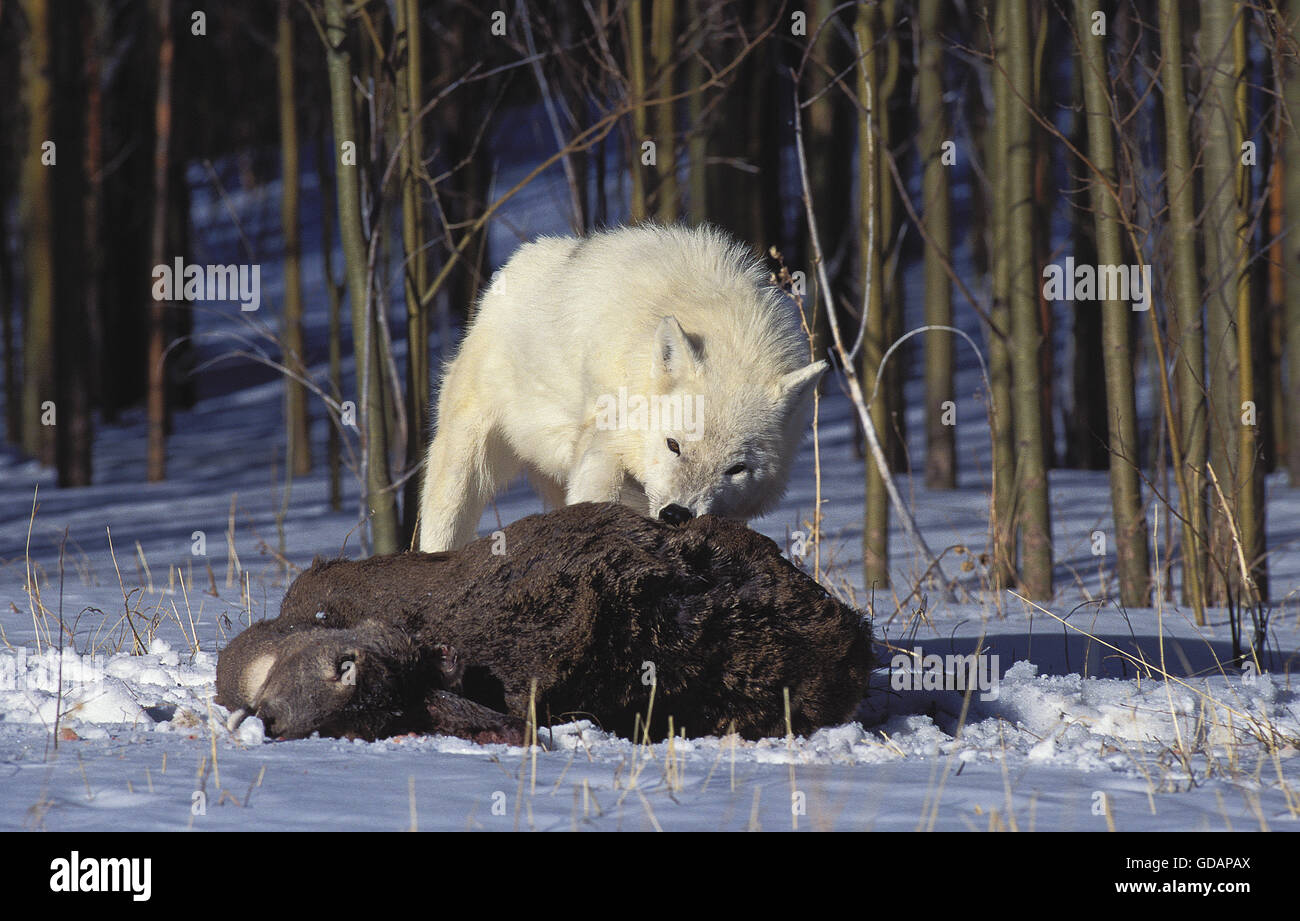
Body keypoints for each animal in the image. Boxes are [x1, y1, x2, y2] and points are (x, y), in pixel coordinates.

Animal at [413, 222, 821, 551]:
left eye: (736, 469)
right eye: (673, 445)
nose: (677, 514)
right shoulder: (606, 438)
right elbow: (597, 495)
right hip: (466, 459)